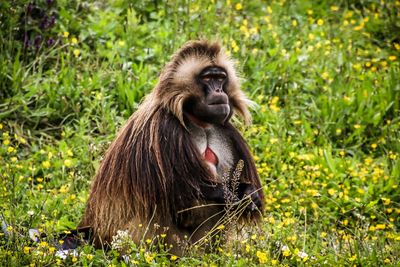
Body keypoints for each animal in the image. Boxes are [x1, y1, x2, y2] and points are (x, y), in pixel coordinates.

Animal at [78, 39, 266, 255]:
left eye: (221, 78)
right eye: (208, 78)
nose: (219, 92)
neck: (197, 121)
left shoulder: (225, 132)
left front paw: (248, 193)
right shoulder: (163, 130)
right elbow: (184, 203)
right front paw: (234, 194)